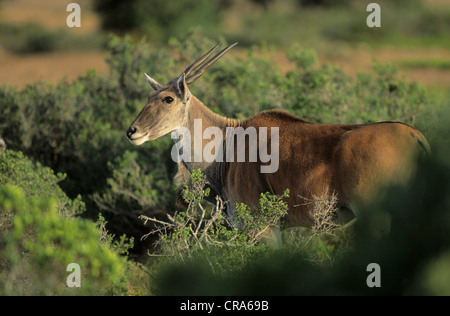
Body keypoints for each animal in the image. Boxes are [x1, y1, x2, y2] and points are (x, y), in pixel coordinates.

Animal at [125, 42, 428, 244]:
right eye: (149, 97)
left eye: (168, 99)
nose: (132, 131)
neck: (227, 144)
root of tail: (414, 136)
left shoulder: (263, 229)